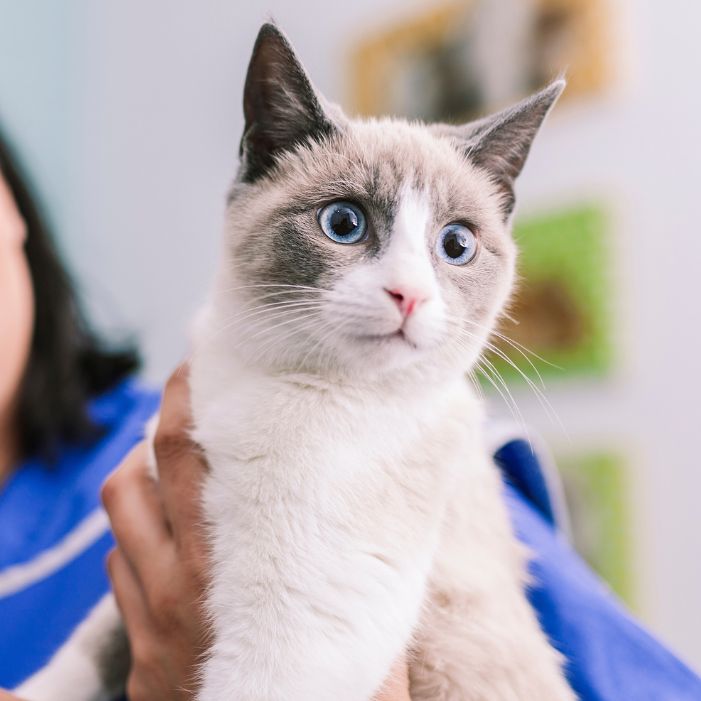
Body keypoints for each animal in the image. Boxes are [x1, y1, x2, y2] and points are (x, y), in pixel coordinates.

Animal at [16, 21, 576, 700]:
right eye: (344, 222)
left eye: (456, 244)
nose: (410, 294)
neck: (267, 377)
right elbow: (93, 644)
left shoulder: (298, 633)